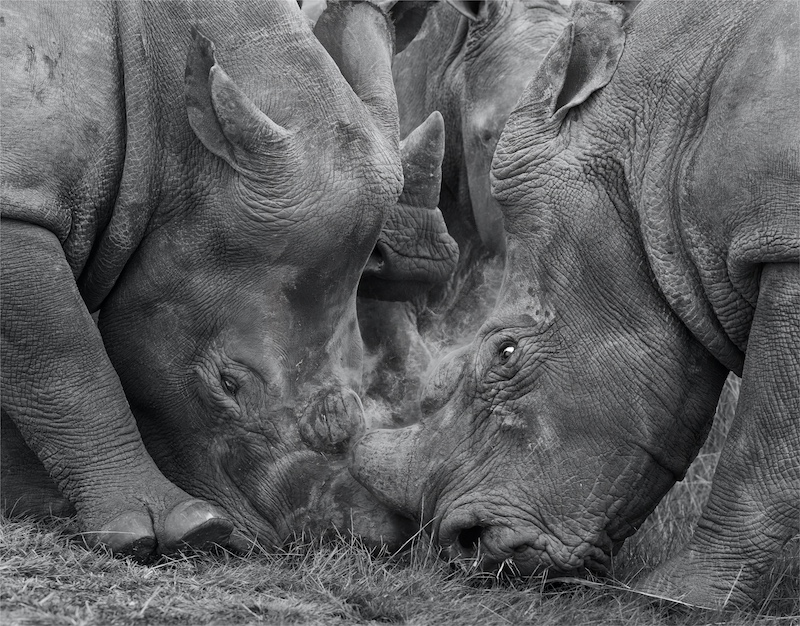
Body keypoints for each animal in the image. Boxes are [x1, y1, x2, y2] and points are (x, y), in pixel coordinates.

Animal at [352, 0, 799, 609]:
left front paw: (675, 599)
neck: (656, 148)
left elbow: (761, 445)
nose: (467, 547)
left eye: (506, 352)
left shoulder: (783, 246)